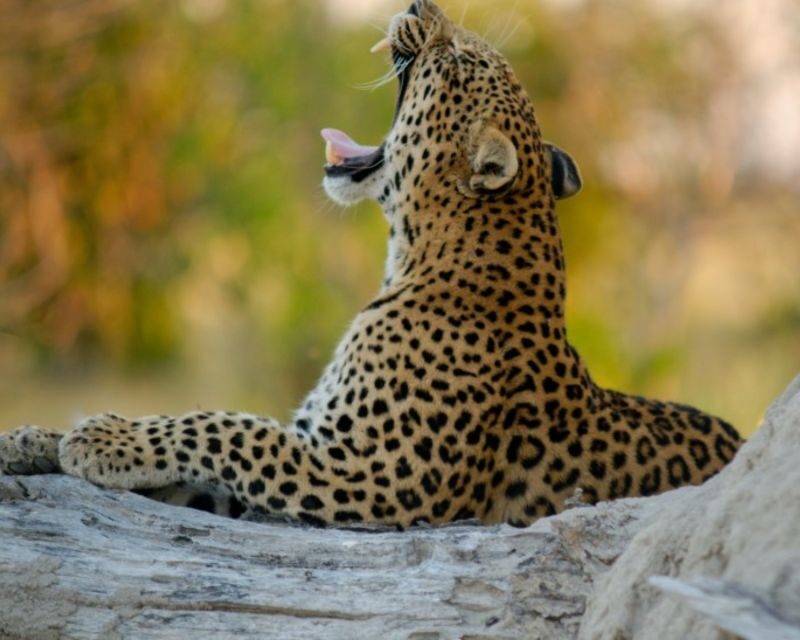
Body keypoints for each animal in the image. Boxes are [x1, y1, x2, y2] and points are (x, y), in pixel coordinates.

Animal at [0, 0, 742, 528]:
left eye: (459, 57)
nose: (420, 0)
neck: (414, 256)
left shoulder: (372, 476)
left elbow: (230, 427)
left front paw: (102, 436)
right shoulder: (310, 449)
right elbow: (211, 453)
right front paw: (33, 438)